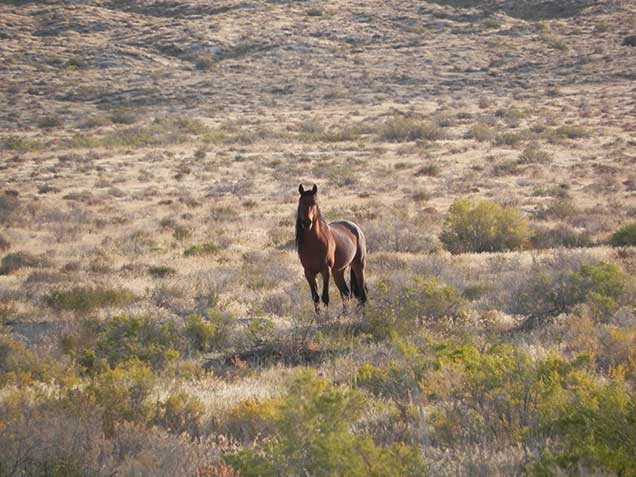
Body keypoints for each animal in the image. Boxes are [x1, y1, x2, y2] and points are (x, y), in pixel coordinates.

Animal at [294, 184, 366, 314]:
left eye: (314, 202)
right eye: (301, 202)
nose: (307, 223)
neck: (313, 245)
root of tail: (356, 227)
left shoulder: (325, 270)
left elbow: (325, 297)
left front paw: (326, 317)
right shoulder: (309, 272)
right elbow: (315, 297)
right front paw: (318, 317)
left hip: (359, 266)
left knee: (361, 293)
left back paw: (361, 314)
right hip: (338, 271)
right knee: (345, 292)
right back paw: (344, 314)